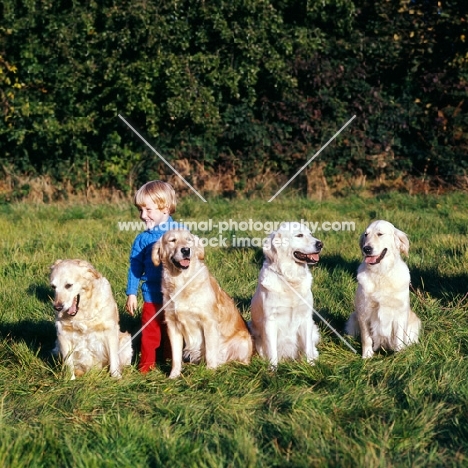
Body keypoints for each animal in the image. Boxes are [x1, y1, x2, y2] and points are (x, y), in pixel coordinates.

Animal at [151, 229, 252, 378]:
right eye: (172, 240)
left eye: (189, 240)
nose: (186, 250)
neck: (182, 282)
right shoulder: (172, 324)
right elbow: (176, 356)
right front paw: (173, 375)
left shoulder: (208, 322)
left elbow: (210, 351)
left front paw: (210, 372)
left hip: (243, 341)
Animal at [250, 223, 324, 370]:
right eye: (299, 235)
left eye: (310, 234)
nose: (320, 244)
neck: (290, 280)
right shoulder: (270, 320)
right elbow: (272, 351)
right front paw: (273, 371)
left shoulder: (305, 318)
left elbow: (308, 348)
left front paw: (311, 367)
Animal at [346, 220, 422, 358]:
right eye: (366, 235)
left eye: (380, 234)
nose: (366, 249)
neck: (381, 273)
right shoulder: (363, 312)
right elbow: (366, 338)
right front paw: (366, 356)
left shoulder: (399, 314)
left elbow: (398, 339)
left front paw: (399, 356)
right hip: (353, 319)